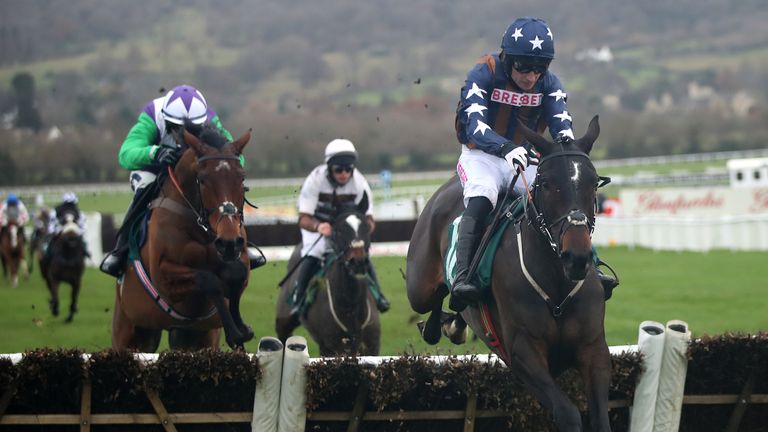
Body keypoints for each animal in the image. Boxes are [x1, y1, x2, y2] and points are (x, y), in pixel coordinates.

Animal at [112, 126, 255, 352]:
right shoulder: (163, 276)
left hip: (192, 338)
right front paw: (234, 331)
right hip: (128, 331)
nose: (228, 242)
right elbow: (208, 279)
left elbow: (237, 273)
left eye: (241, 177)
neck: (202, 228)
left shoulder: (241, 256)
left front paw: (240, 327)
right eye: (202, 179)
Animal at [278, 197, 382, 356]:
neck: (351, 306)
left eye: (366, 227)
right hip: (283, 323)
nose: (358, 262)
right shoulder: (333, 347)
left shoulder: (371, 347)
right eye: (339, 230)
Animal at [408, 115, 612, 432]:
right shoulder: (523, 352)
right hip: (419, 286)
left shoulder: (593, 350)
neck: (557, 286)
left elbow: (602, 418)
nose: (576, 256)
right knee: (433, 296)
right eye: (546, 183)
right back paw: (444, 316)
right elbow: (567, 413)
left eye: (593, 183)